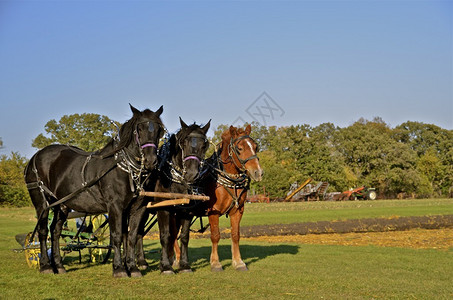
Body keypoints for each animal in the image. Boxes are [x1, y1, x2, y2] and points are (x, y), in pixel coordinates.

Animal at [23, 105, 163, 276]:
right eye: (139, 129)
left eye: (159, 130)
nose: (151, 161)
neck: (124, 168)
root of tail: (35, 156)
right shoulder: (115, 206)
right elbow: (117, 235)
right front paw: (119, 268)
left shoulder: (138, 208)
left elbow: (131, 236)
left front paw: (133, 267)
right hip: (42, 203)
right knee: (43, 232)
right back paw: (46, 265)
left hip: (62, 205)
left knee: (55, 231)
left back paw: (59, 265)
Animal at [151, 118, 209, 274]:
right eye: (183, 143)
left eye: (204, 145)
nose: (191, 174)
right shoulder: (163, 208)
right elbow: (165, 235)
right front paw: (165, 266)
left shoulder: (186, 211)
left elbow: (183, 236)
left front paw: (184, 264)